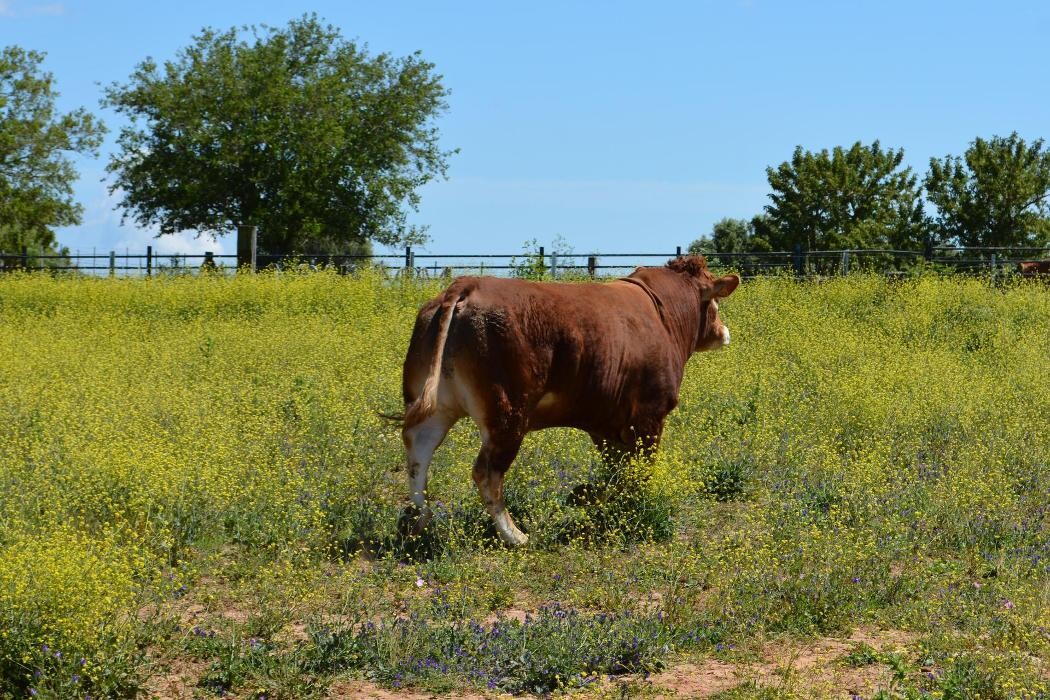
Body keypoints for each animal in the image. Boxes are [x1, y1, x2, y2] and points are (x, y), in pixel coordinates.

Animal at [394, 257, 739, 545]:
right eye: (715, 302)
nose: (723, 331)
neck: (662, 313)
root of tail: (467, 284)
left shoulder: (606, 422)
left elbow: (617, 472)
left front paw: (586, 495)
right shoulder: (649, 416)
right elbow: (637, 472)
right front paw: (619, 503)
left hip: (437, 406)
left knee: (417, 452)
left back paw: (419, 520)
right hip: (508, 414)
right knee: (486, 473)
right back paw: (516, 536)